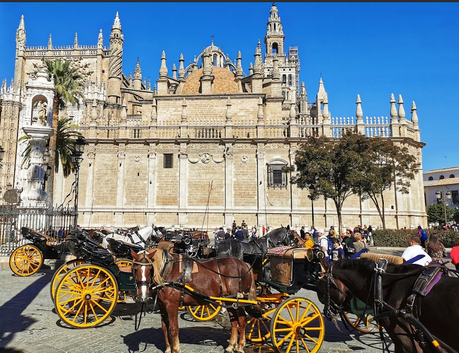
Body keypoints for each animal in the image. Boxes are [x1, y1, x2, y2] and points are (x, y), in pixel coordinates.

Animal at [131, 248, 260, 352]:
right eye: (135, 269)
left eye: (150, 269)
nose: (142, 295)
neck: (168, 271)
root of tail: (244, 264)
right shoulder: (162, 306)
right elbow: (164, 327)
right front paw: (168, 349)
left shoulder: (172, 306)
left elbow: (173, 329)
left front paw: (175, 349)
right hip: (229, 302)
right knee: (234, 323)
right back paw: (230, 346)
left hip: (238, 301)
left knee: (242, 321)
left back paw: (240, 346)